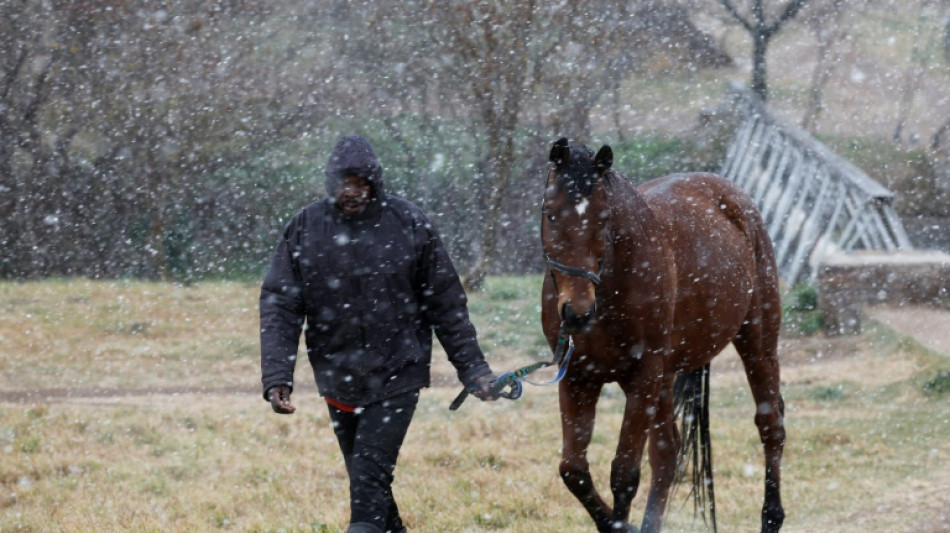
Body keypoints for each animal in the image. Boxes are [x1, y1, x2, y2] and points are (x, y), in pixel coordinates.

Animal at [544, 138, 788, 532]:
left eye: (603, 218)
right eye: (550, 213)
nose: (577, 312)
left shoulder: (643, 374)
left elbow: (624, 475)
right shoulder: (578, 378)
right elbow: (574, 471)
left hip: (757, 341)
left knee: (770, 424)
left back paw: (771, 517)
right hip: (663, 378)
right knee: (667, 452)